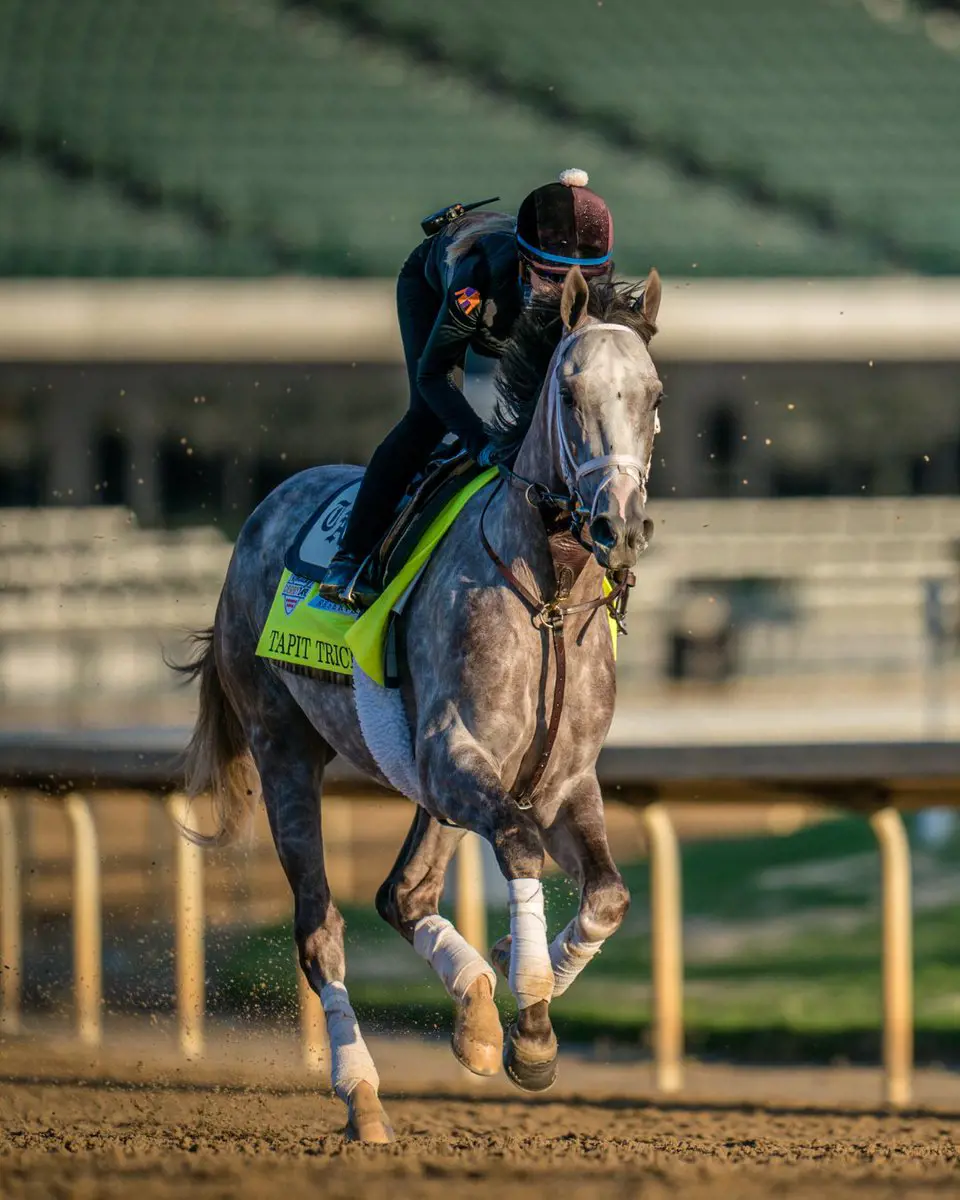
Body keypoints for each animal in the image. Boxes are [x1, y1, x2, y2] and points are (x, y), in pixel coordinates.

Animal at [176, 267, 662, 1137]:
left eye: (653, 395)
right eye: (570, 393)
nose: (620, 525)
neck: (548, 596)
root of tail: (263, 511)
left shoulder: (561, 779)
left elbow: (608, 894)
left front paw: (515, 979)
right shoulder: (456, 756)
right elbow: (519, 848)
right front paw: (532, 1022)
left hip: (431, 789)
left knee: (401, 893)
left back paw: (474, 1009)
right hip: (285, 749)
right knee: (321, 927)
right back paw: (363, 1092)